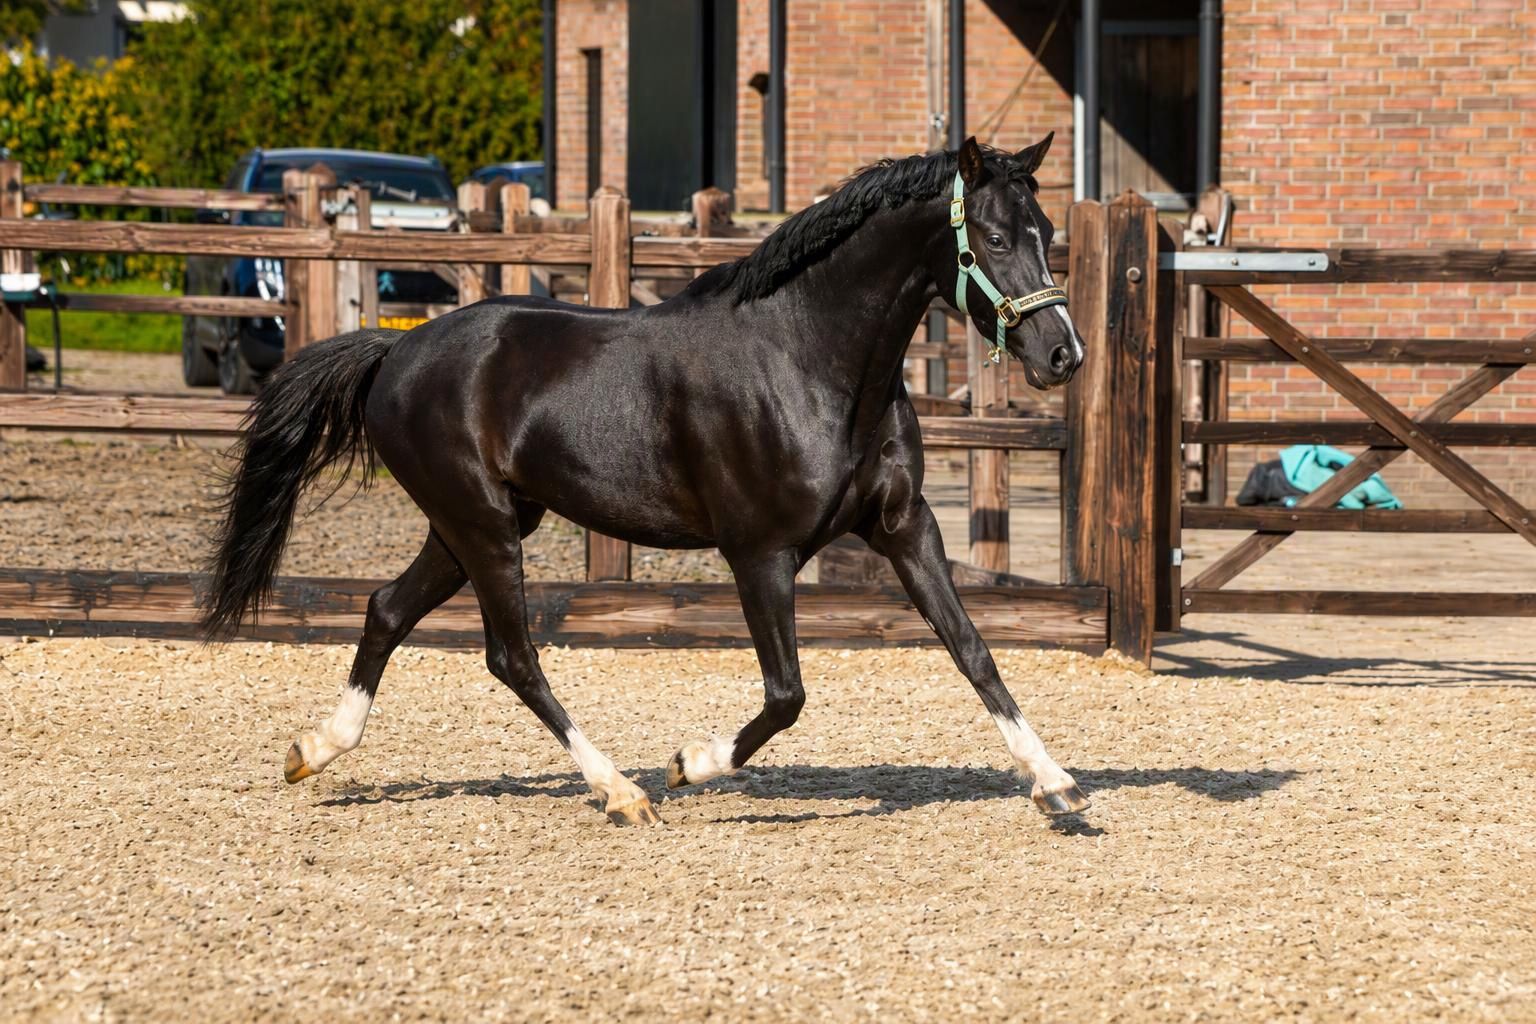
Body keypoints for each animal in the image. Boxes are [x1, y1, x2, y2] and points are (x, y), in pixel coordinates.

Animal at [202, 135, 1090, 826]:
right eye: (993, 237)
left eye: (1047, 231)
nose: (1063, 355)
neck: (807, 358)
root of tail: (395, 350)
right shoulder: (759, 554)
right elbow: (786, 695)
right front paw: (687, 763)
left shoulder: (904, 527)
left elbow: (973, 650)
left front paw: (1057, 785)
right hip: (483, 527)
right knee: (512, 656)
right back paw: (623, 791)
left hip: (469, 527)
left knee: (387, 610)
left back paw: (313, 750)